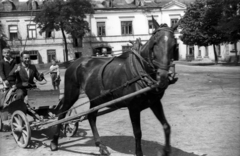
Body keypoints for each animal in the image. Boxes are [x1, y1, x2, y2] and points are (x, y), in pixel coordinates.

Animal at [50, 16, 178, 156]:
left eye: (174, 45)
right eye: (154, 43)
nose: (163, 77)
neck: (141, 70)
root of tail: (75, 62)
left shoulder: (154, 102)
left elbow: (166, 126)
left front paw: (166, 150)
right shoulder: (133, 107)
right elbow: (138, 133)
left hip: (96, 98)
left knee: (91, 117)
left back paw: (100, 146)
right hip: (72, 92)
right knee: (62, 114)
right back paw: (54, 142)